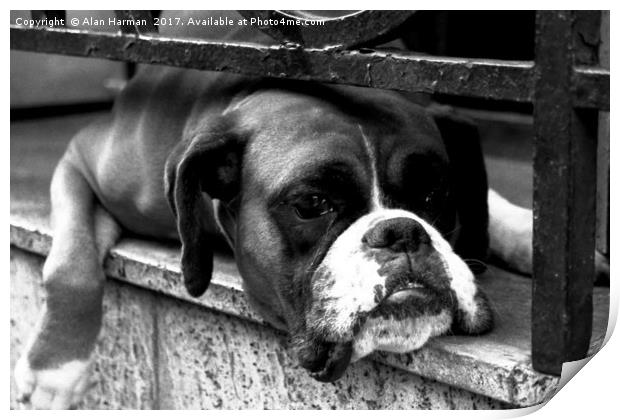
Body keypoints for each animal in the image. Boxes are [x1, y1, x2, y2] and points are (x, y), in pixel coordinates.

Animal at [12, 11, 608, 408]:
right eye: (312, 204)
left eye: (435, 195)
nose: (401, 233)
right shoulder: (81, 157)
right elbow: (69, 264)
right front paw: (54, 370)